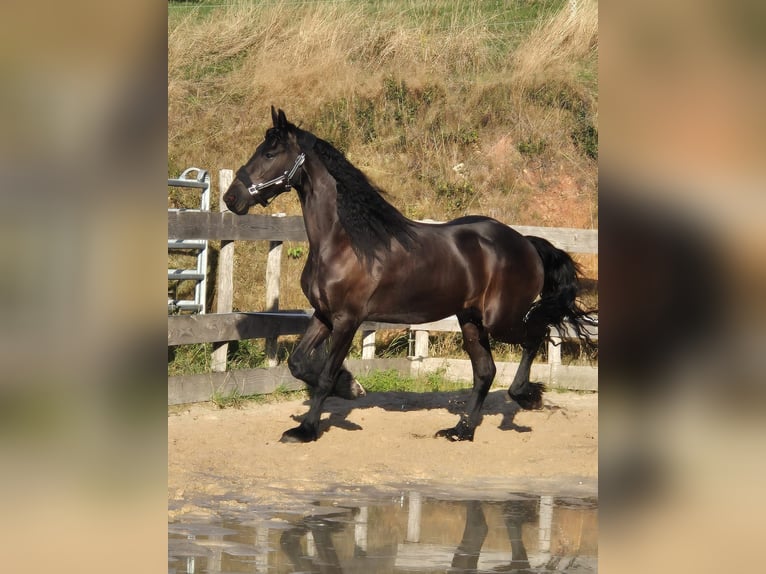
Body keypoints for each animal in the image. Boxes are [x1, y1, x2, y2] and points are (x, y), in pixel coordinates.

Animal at [222, 108, 592, 446]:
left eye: (269, 153)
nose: (231, 197)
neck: (345, 241)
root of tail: (526, 243)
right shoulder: (324, 315)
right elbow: (298, 363)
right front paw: (350, 386)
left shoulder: (348, 320)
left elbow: (325, 375)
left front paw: (307, 429)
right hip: (470, 320)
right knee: (486, 371)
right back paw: (461, 431)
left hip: (502, 319)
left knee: (535, 337)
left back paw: (525, 397)